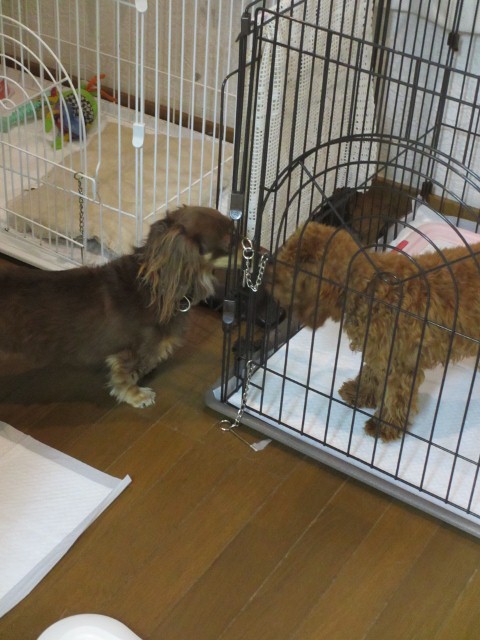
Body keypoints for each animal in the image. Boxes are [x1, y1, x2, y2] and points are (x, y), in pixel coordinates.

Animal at [0, 206, 233, 408]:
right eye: (230, 244)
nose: (249, 246)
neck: (152, 287)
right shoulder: (129, 351)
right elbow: (125, 376)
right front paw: (136, 396)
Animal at [266, 221, 480, 441]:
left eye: (288, 270)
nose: (266, 275)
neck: (368, 289)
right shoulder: (378, 351)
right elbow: (371, 374)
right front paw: (360, 393)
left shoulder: (400, 363)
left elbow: (395, 396)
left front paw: (384, 425)